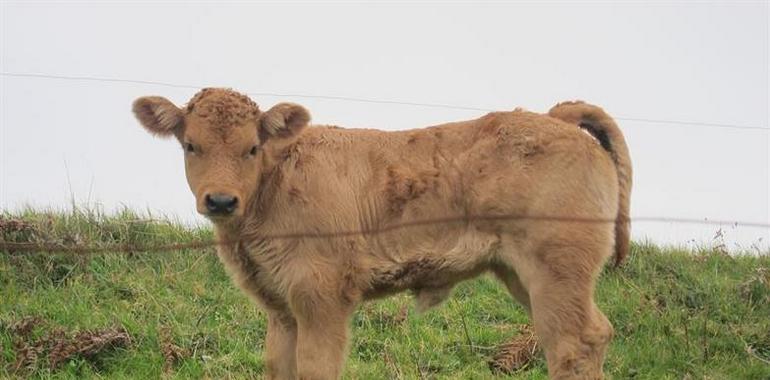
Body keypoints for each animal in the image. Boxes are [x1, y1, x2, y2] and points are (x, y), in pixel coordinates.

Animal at [134, 87, 632, 378]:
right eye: (191, 145)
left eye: (252, 147)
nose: (220, 201)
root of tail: (555, 117)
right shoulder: (282, 307)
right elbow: (280, 367)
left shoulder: (322, 298)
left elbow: (317, 368)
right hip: (524, 274)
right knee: (590, 333)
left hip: (557, 269)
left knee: (573, 344)